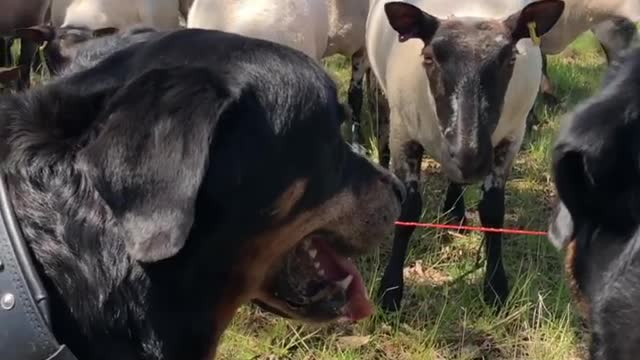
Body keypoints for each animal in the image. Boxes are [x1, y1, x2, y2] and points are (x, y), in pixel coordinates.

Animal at [364, 0, 640, 312]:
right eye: (429, 58)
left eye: (510, 60)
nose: (470, 156)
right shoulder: (405, 135)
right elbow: (409, 212)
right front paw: (390, 291)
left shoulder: (510, 139)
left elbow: (493, 210)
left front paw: (495, 288)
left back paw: (455, 213)